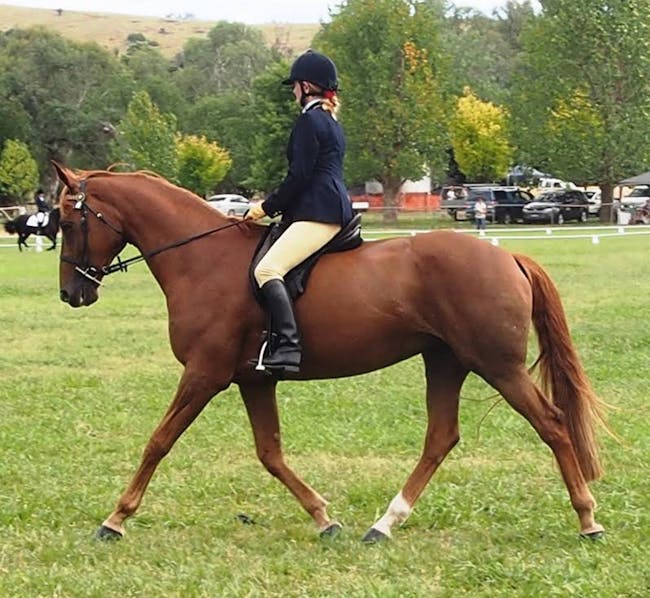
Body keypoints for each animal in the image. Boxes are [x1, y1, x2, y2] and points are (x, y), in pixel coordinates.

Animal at [53, 163, 604, 544]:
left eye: (67, 220)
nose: (70, 294)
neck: (200, 259)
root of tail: (508, 255)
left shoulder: (204, 374)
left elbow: (158, 441)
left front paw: (115, 519)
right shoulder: (253, 379)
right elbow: (270, 453)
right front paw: (324, 518)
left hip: (498, 366)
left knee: (552, 425)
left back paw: (587, 519)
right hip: (446, 361)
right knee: (441, 438)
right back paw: (384, 524)